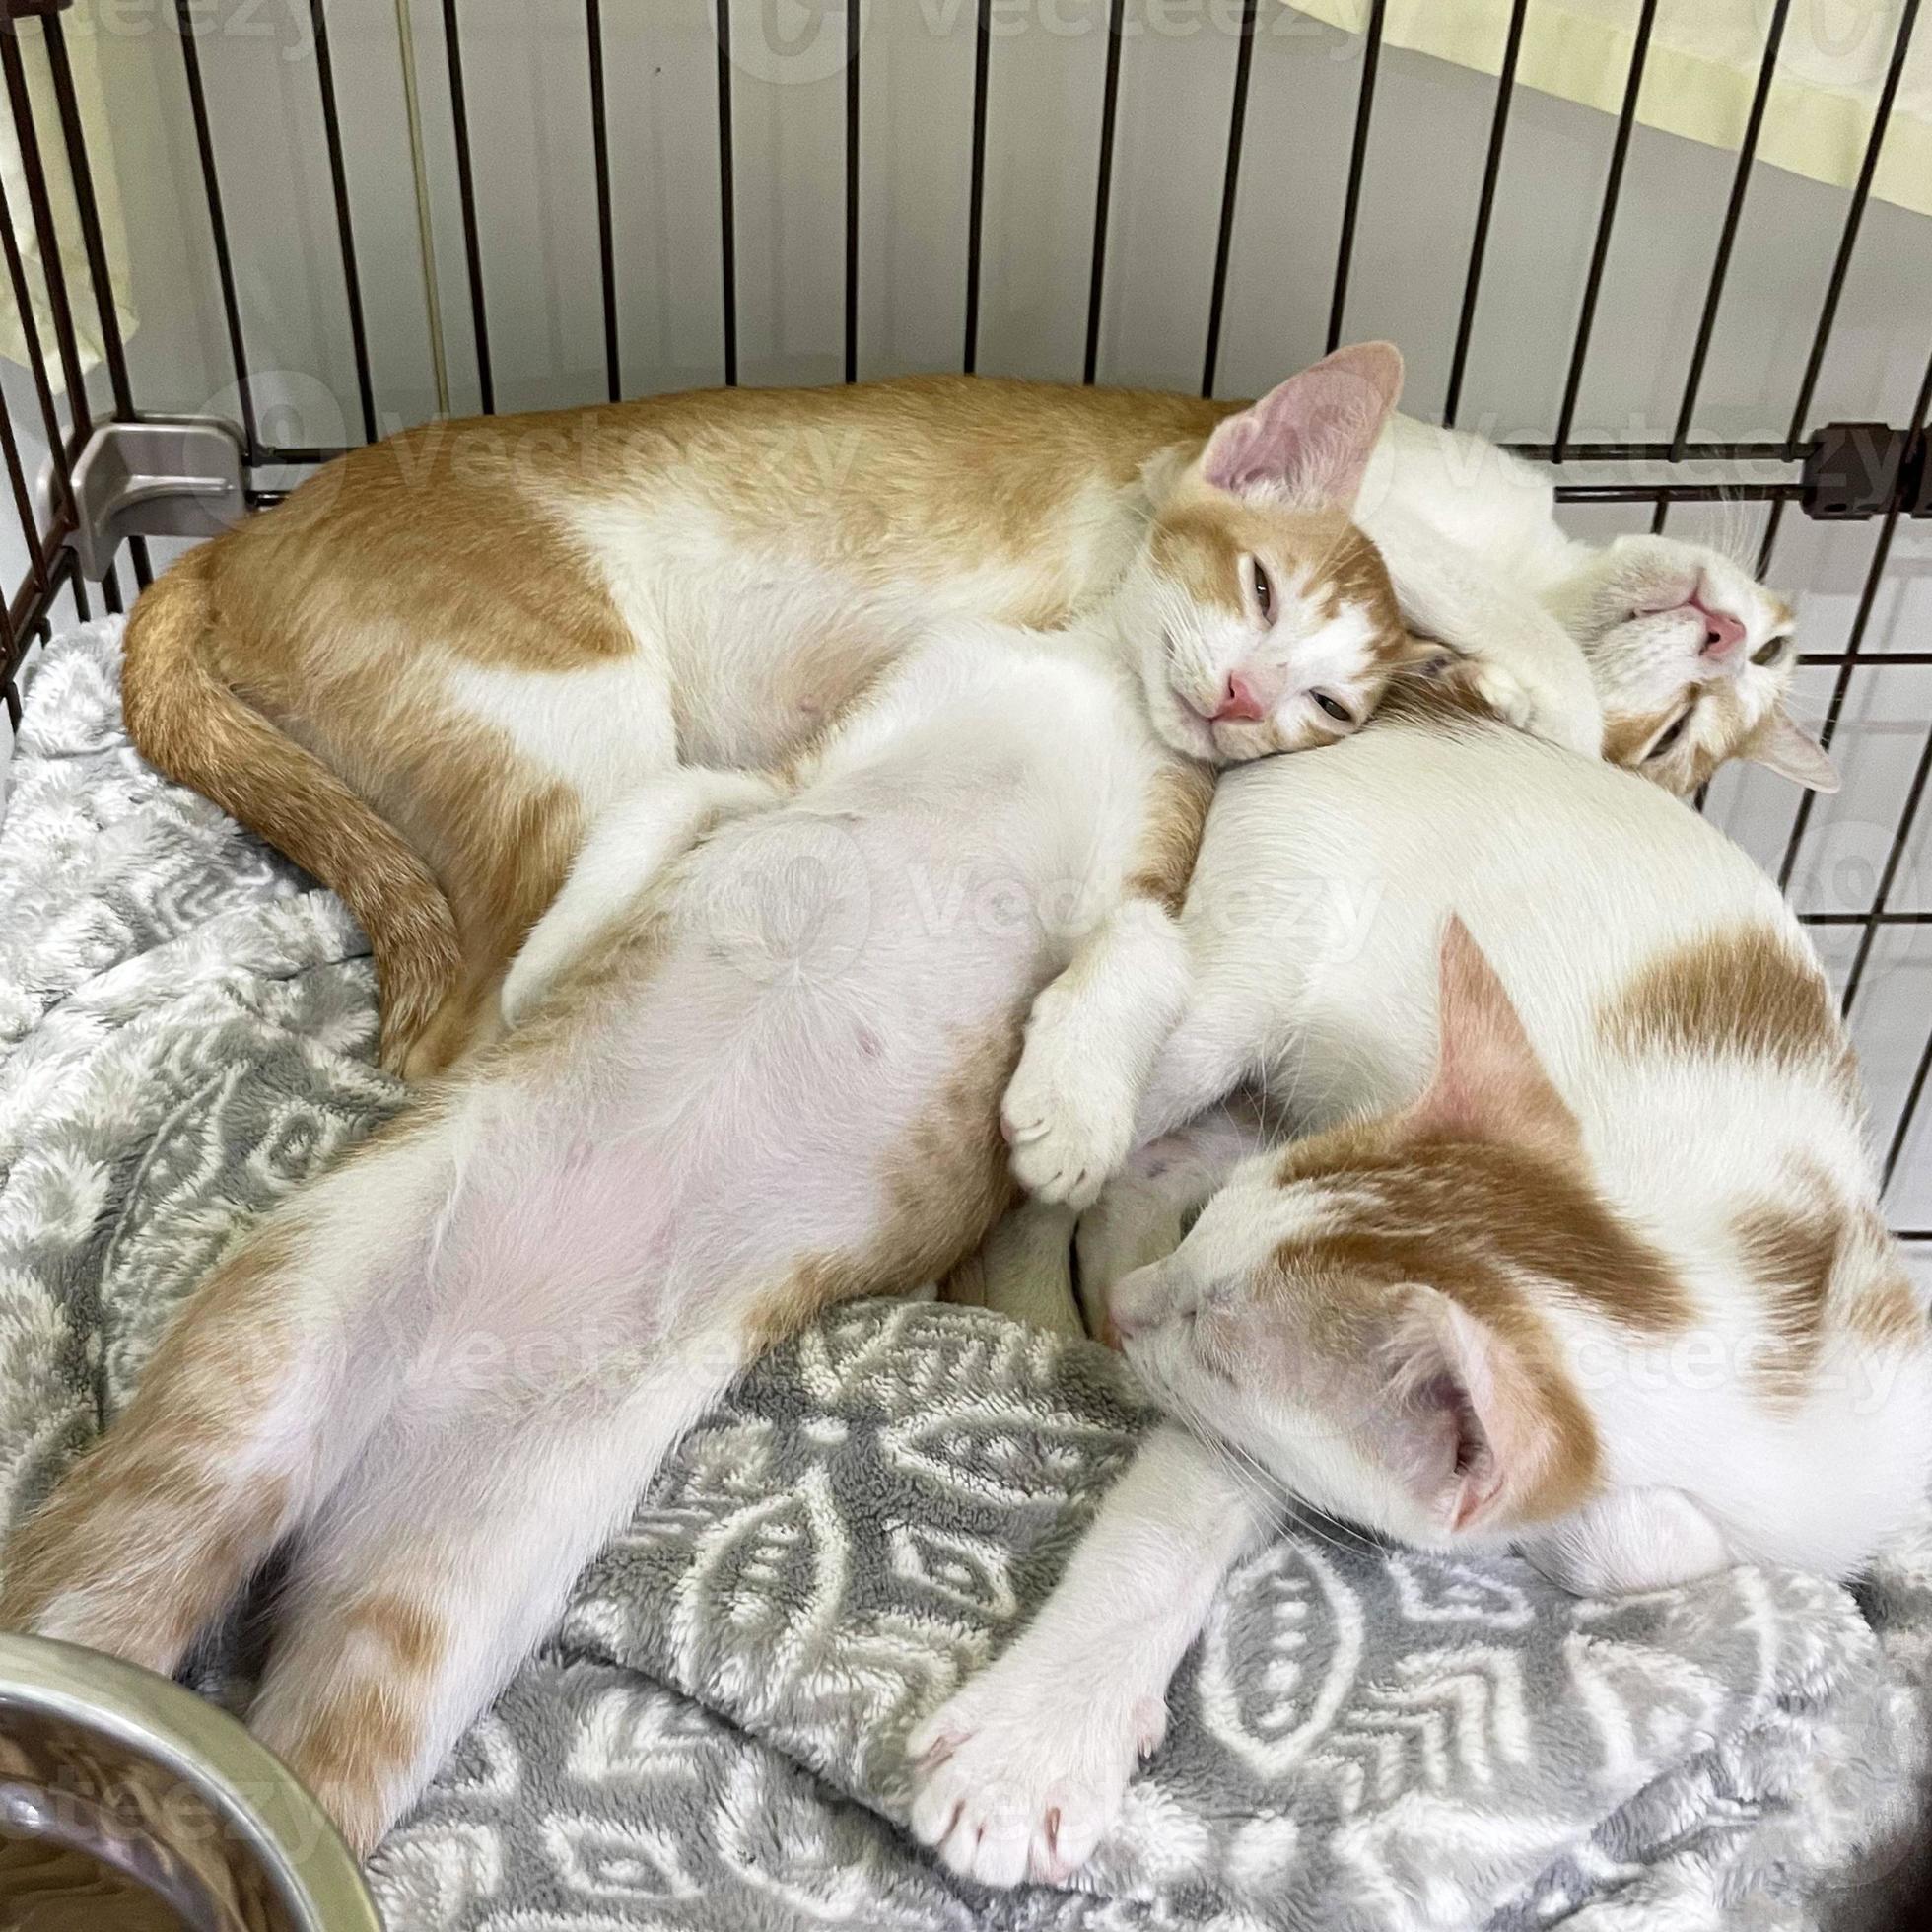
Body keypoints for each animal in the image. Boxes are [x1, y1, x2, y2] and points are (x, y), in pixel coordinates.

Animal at [908, 695, 1932, 1885]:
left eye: (1221, 1349)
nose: (1128, 1317)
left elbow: (1654, 1549)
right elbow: (1174, 1524)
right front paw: (1032, 1744)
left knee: (1156, 1160)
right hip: (1255, 957)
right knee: (1133, 1015)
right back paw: (1066, 1148)